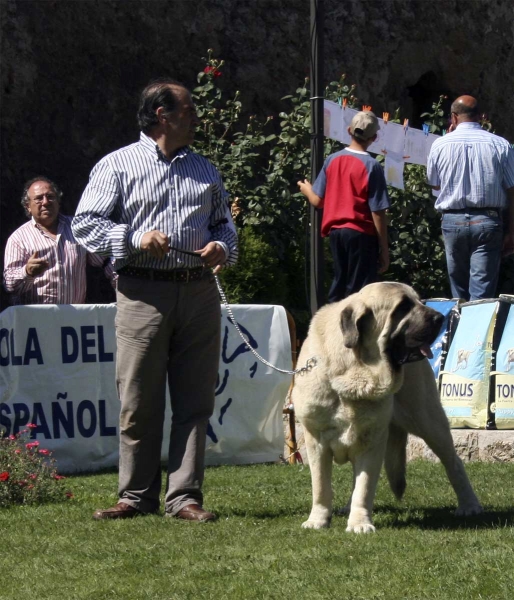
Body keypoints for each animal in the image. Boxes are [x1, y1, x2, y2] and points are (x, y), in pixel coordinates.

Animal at [290, 284, 482, 532]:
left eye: (419, 301)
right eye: (403, 307)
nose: (439, 317)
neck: (356, 368)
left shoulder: (373, 439)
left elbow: (364, 486)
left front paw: (359, 523)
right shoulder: (316, 439)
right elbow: (321, 486)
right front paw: (318, 520)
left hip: (429, 422)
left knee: (453, 462)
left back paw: (469, 504)